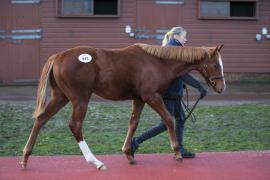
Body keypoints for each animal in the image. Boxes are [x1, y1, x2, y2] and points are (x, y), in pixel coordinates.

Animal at [19, 43, 226, 170]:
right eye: (216, 65)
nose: (222, 87)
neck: (157, 62)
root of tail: (58, 56)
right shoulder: (152, 96)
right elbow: (169, 119)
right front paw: (177, 152)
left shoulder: (139, 99)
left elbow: (133, 123)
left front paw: (128, 153)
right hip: (80, 98)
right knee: (75, 125)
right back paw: (95, 161)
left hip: (61, 97)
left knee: (41, 119)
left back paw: (25, 157)